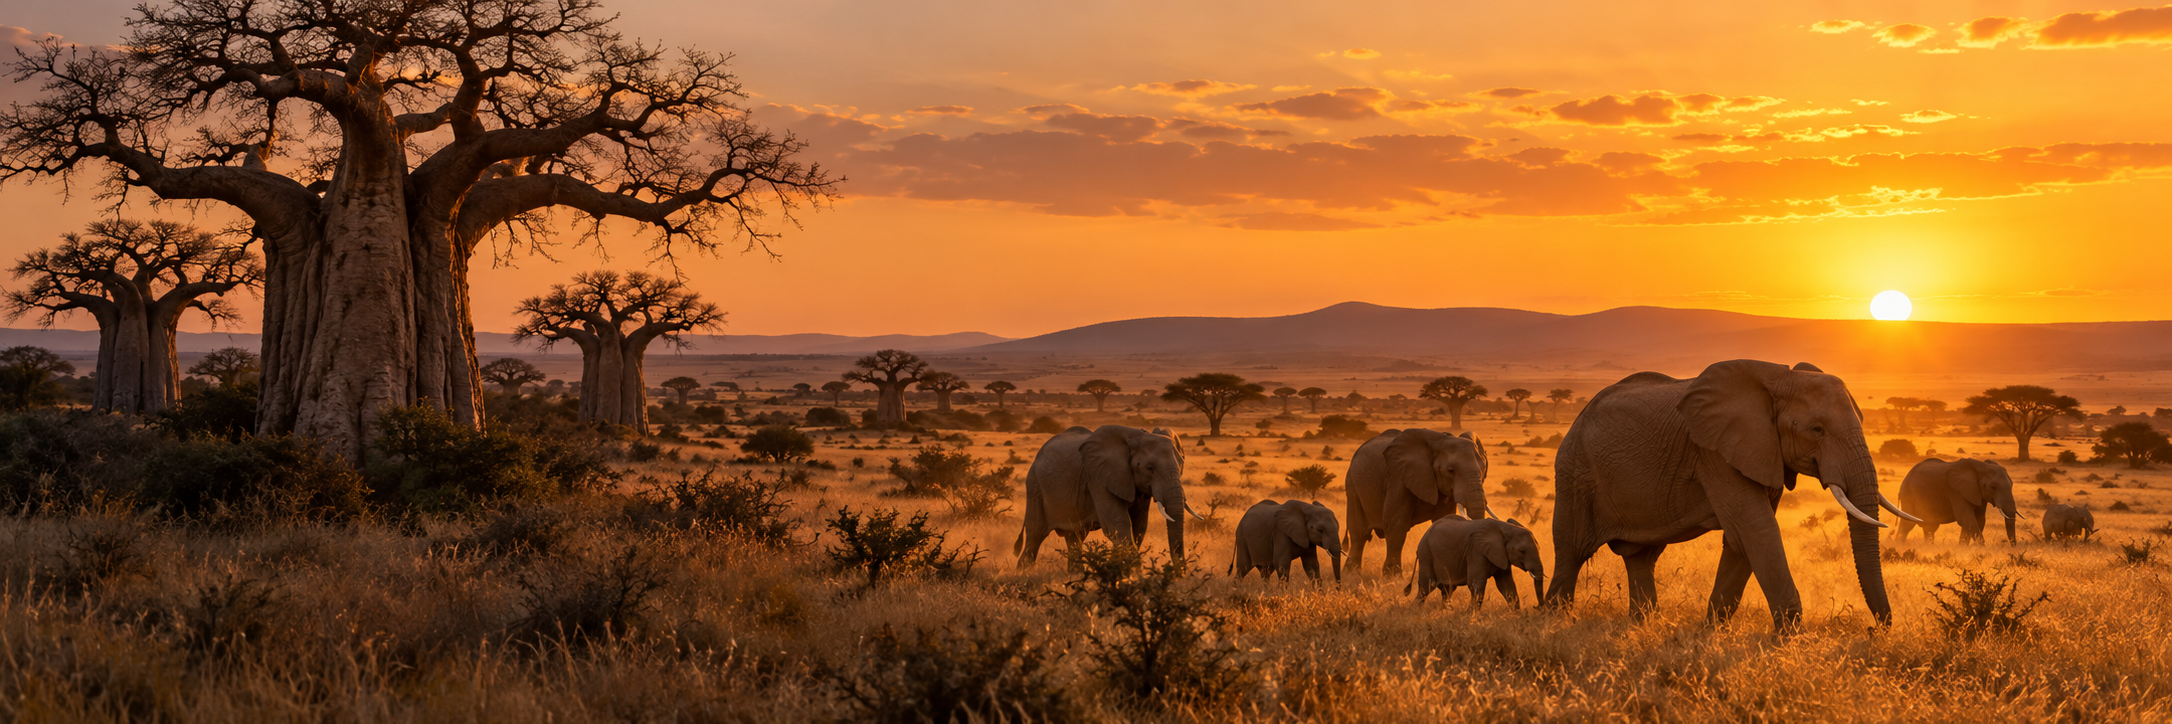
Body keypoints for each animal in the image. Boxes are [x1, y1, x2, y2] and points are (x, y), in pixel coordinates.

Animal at [1015, 425, 1191, 568]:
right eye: (1149, 468)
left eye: (1181, 465)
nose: (1179, 576)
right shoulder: (1097, 477)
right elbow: (1118, 525)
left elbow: (1139, 526)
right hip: (1035, 487)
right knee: (1034, 538)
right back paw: (1024, 575)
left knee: (1074, 539)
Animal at [1344, 428, 1489, 577]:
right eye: (1450, 471)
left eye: (1483, 470)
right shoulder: (1398, 477)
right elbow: (1396, 525)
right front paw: (1392, 576)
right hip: (1352, 485)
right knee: (1359, 533)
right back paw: (1351, 574)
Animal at [1407, 515, 1545, 609]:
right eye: (1522, 551)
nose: (1537, 607)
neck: (1506, 528)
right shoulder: (1476, 551)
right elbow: (1476, 584)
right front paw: (1470, 616)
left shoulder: (1501, 555)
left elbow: (1506, 585)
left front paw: (1517, 616)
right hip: (1426, 553)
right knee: (1427, 585)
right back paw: (1416, 609)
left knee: (1448, 588)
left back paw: (1446, 610)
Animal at [1546, 360, 1921, 630]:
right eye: (1817, 430)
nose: (1876, 629)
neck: (1780, 378)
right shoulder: (1714, 453)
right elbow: (1756, 530)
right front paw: (1788, 639)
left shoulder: (1763, 452)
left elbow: (1742, 540)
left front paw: (1710, 633)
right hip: (1575, 472)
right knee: (1572, 551)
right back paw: (1553, 623)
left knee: (1640, 557)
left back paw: (1643, 626)